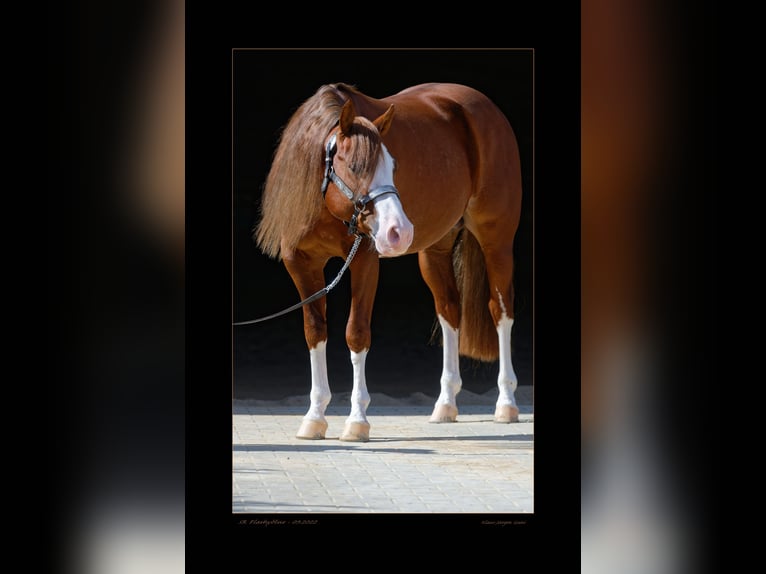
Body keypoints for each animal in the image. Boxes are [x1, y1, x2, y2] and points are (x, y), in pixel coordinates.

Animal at [252, 82, 520, 440]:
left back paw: (506, 404)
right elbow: (315, 332)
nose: (399, 231)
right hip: (434, 251)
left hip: (496, 241)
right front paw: (314, 417)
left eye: (392, 167)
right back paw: (445, 405)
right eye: (354, 167)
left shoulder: (364, 261)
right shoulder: (301, 264)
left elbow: (356, 333)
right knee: (450, 311)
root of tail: (484, 107)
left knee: (500, 311)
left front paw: (357, 421)